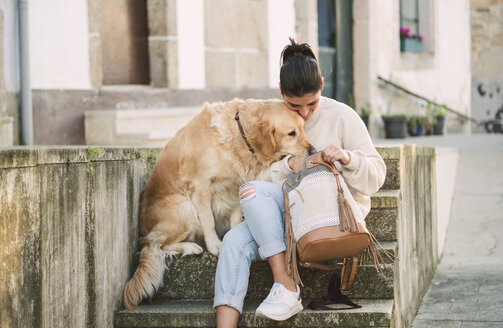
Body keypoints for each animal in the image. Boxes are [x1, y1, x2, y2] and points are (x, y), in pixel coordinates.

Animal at [122, 98, 312, 308]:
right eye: (291, 133)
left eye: (303, 128)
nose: (312, 150)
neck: (239, 134)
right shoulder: (200, 184)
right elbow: (208, 220)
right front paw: (215, 246)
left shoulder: (237, 184)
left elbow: (235, 218)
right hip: (183, 207)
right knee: (153, 244)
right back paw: (190, 247)